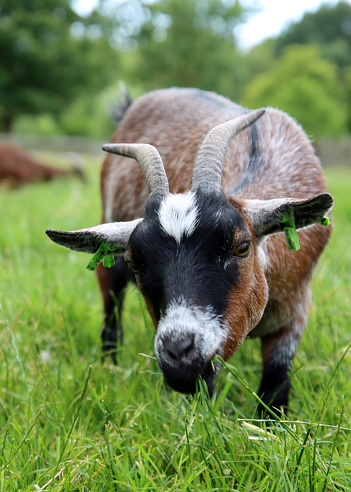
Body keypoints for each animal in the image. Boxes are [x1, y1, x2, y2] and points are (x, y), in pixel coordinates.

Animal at [45, 89, 334, 416]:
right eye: (135, 262)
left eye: (241, 247)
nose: (178, 352)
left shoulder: (294, 311)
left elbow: (275, 388)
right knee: (111, 316)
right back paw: (110, 368)